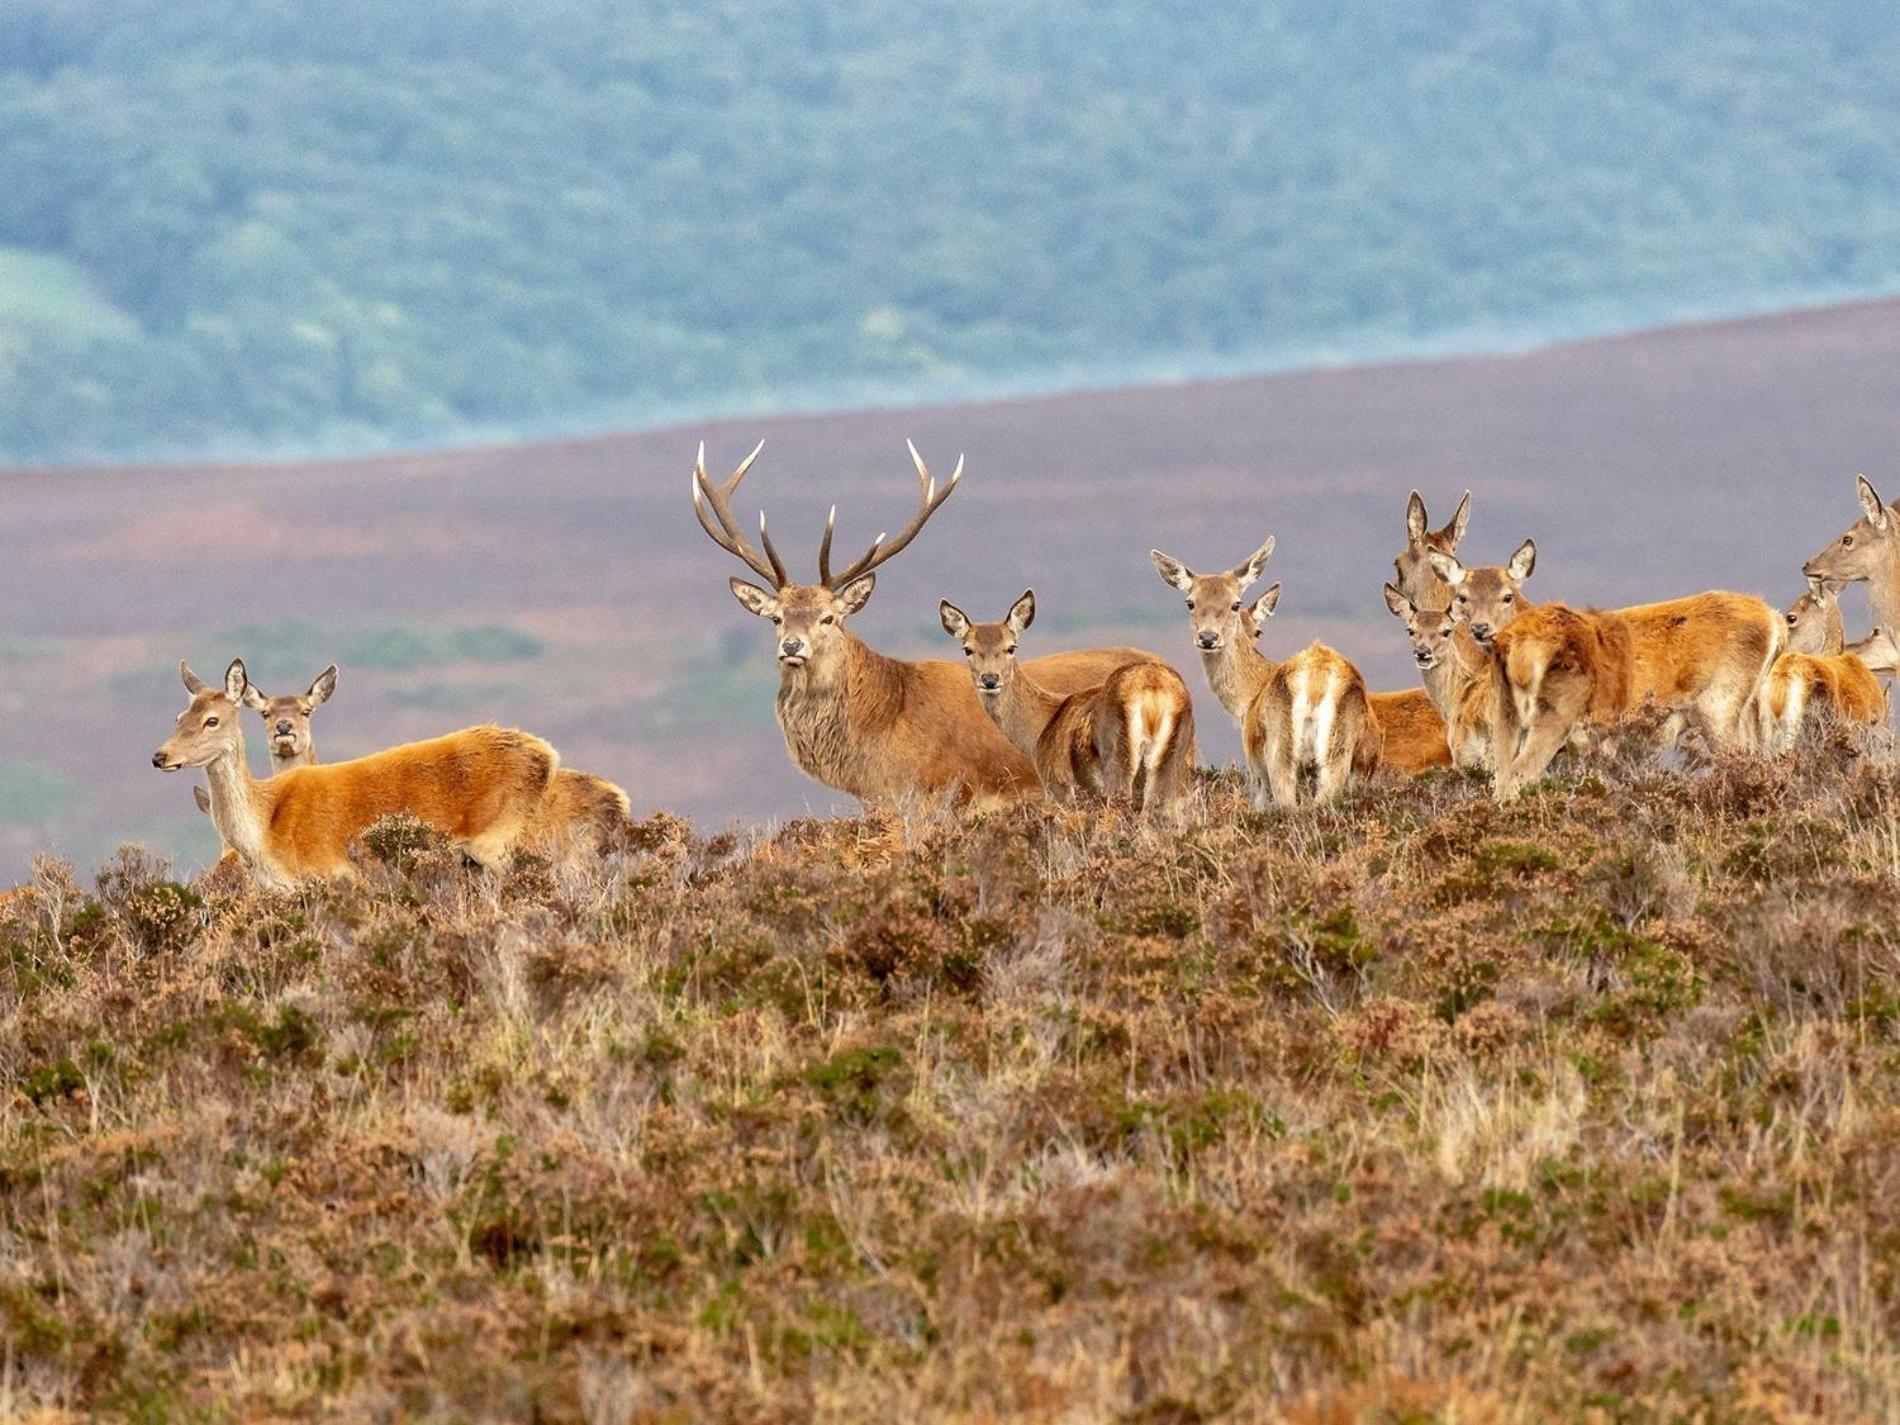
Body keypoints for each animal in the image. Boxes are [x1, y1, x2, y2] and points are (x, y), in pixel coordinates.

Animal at [156, 661, 558, 889]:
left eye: (212, 720)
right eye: (179, 717)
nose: (160, 756)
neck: (263, 834)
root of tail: (548, 755)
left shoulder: (332, 875)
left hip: (500, 841)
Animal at [942, 589, 1193, 813]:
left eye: (1011, 647)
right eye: (968, 649)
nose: (990, 679)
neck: (1040, 730)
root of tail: (1154, 690)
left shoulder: (1058, 785)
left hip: (1117, 756)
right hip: (1175, 758)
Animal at [1140, 539, 1383, 809]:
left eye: (1235, 603)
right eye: (1190, 602)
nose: (1208, 638)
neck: (1247, 700)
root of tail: (1317, 682)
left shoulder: (1255, 769)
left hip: (1280, 750)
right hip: (1341, 755)